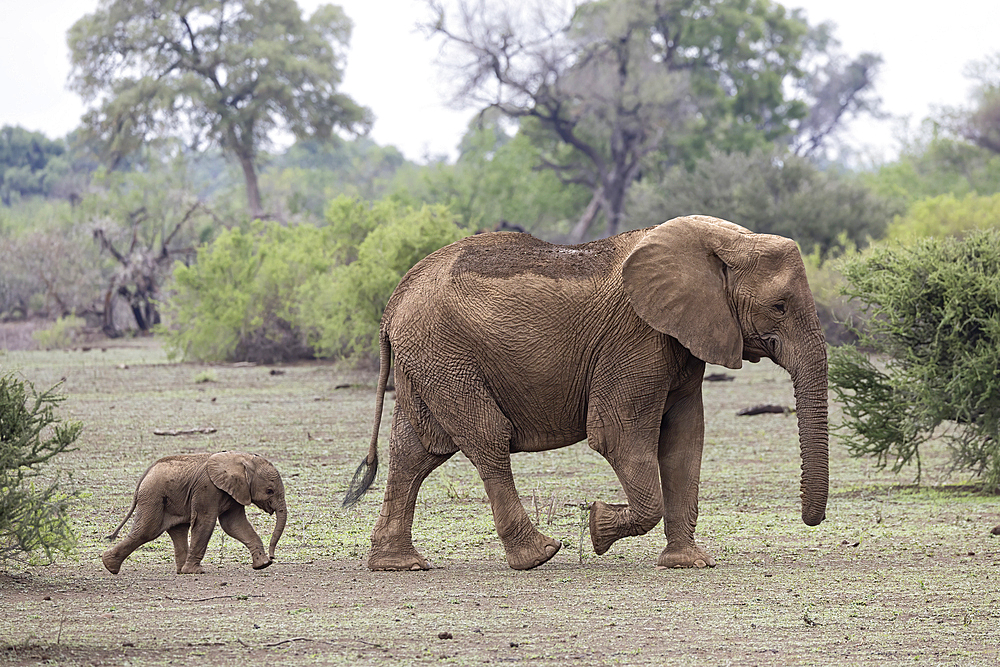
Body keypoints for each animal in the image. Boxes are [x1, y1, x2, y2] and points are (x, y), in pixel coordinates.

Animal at [102, 454, 288, 576]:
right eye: (269, 491)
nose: (273, 557)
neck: (242, 459)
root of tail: (146, 473)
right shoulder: (207, 488)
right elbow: (206, 521)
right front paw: (196, 571)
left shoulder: (234, 491)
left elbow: (234, 525)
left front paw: (262, 565)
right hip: (153, 495)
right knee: (147, 531)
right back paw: (110, 566)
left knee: (177, 530)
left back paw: (181, 571)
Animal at [344, 217, 828, 572]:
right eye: (780, 306)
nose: (812, 520)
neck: (721, 241)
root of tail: (393, 302)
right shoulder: (636, 338)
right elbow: (617, 436)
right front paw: (597, 526)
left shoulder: (682, 339)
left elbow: (685, 440)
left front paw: (689, 563)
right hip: (445, 354)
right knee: (487, 437)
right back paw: (539, 555)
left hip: (427, 359)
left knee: (416, 450)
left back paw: (399, 565)